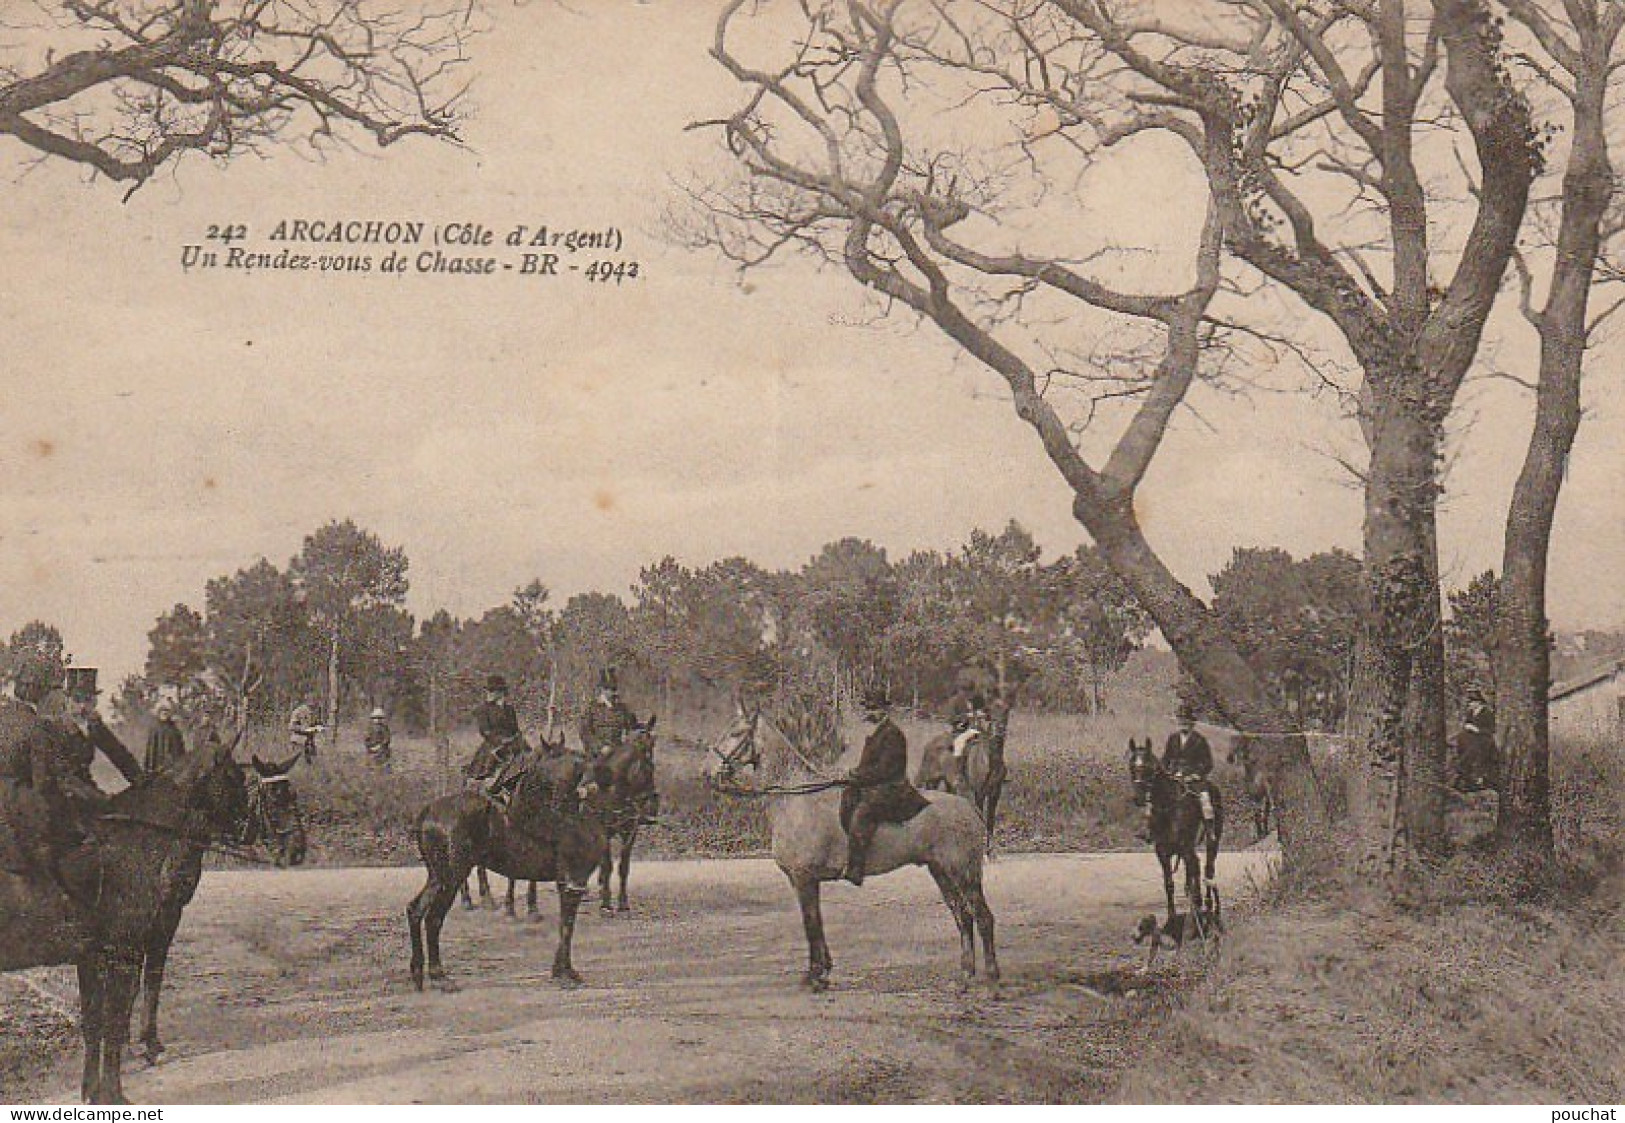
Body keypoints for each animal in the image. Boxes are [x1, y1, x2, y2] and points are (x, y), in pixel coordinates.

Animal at [0, 728, 250, 1105]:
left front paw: (92, 1091)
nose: (248, 825)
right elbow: (115, 1024)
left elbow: (93, 1024)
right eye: (235, 776)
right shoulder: (124, 955)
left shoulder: (91, 957)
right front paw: (113, 1093)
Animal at [406, 754, 611, 994]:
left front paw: (562, 971)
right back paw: (439, 976)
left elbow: (565, 924)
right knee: (433, 919)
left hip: (437, 877)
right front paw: (565, 974)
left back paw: (418, 973)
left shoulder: (567, 882)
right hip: (452, 878)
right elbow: (568, 925)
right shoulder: (575, 881)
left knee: (415, 910)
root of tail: (428, 812)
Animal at [708, 711, 994, 994]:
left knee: (982, 917)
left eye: (736, 733)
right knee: (962, 916)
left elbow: (811, 924)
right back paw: (964, 977)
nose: (709, 772)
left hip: (964, 874)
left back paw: (993, 980)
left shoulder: (804, 878)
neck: (794, 799)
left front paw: (814, 976)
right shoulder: (803, 881)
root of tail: (969, 808)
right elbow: (817, 923)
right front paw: (823, 972)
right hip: (941, 873)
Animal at [1131, 734, 1222, 929]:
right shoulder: (1162, 853)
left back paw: (1209, 905)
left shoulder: (1185, 849)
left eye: (1148, 766)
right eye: (1131, 766)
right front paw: (1171, 918)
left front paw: (1197, 911)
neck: (1168, 807)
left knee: (1208, 869)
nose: (1139, 798)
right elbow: (1169, 884)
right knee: (1196, 869)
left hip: (1212, 841)